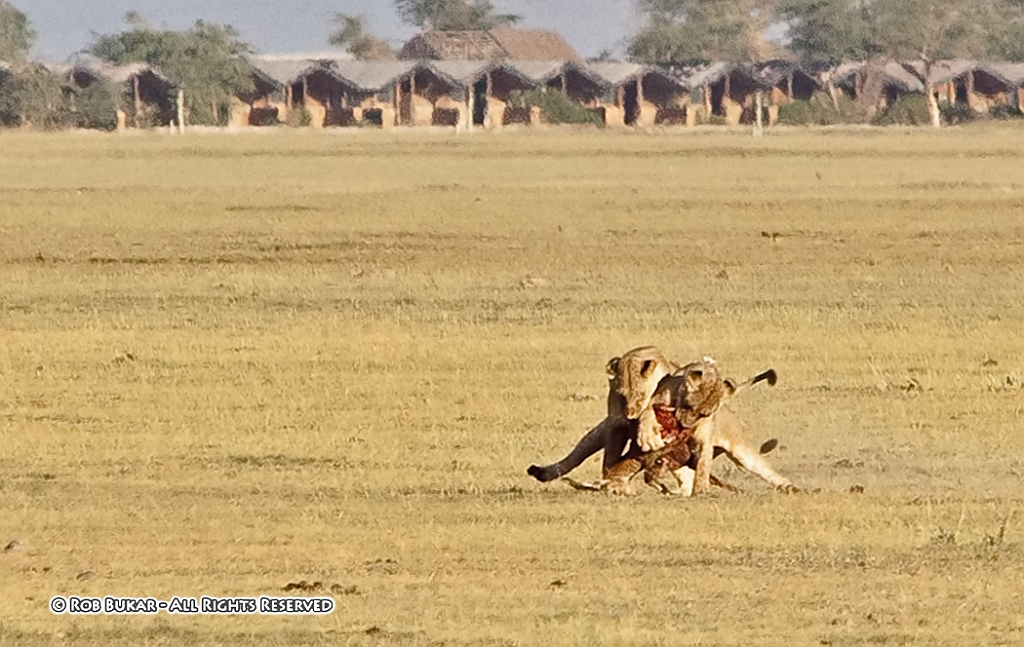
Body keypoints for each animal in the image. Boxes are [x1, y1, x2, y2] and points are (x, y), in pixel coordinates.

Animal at [635, 358, 795, 495]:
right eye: (689, 406)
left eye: (703, 414)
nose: (685, 425)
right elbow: (648, 413)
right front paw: (646, 435)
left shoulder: (704, 441)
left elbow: (703, 467)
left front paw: (701, 490)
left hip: (743, 454)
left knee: (766, 470)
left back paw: (790, 488)